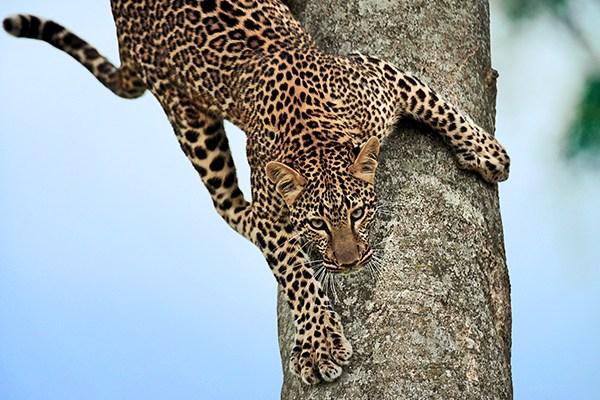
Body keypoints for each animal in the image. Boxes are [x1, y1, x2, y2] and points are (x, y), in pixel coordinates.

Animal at [4, 0, 510, 388]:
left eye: (358, 213)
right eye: (317, 224)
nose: (348, 263)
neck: (314, 137)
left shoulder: (380, 75)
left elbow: (441, 107)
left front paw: (488, 154)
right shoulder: (272, 210)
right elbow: (294, 273)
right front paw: (320, 343)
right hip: (191, 123)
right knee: (225, 204)